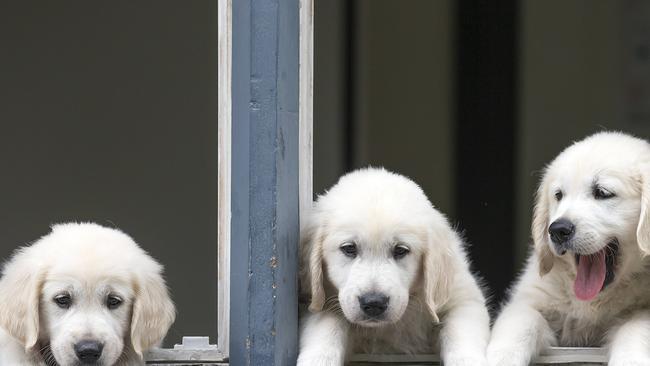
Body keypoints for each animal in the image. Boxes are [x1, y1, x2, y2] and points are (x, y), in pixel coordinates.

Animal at [296, 168, 488, 366]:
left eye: (400, 250)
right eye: (349, 248)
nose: (374, 303)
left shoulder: (463, 299)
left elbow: (460, 332)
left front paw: (467, 360)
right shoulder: (319, 300)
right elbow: (326, 328)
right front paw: (318, 359)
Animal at [486, 133, 650, 366]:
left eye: (602, 193)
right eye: (558, 195)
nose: (557, 230)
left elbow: (635, 328)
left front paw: (630, 359)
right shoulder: (529, 300)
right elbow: (519, 324)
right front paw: (501, 358)